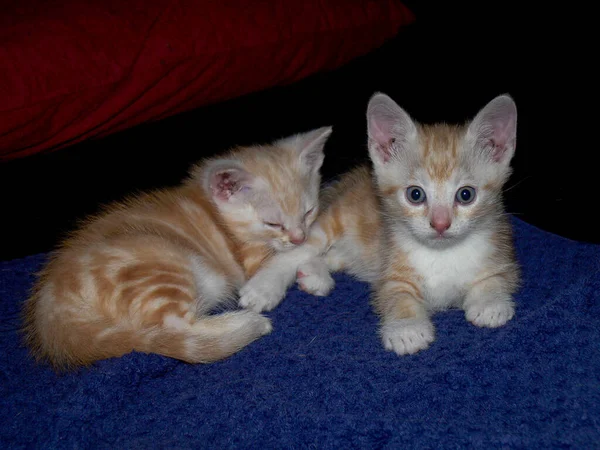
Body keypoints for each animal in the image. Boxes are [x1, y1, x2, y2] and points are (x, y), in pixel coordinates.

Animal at [22, 126, 332, 370]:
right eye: (272, 223)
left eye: (308, 211)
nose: (298, 235)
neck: (217, 211)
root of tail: (53, 319)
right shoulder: (253, 257)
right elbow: (298, 250)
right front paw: (271, 287)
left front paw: (315, 273)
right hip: (159, 263)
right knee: (176, 327)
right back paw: (245, 323)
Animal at [239, 93, 520, 356]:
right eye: (415, 195)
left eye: (466, 195)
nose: (440, 224)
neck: (443, 254)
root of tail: (352, 180)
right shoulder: (390, 268)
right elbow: (396, 294)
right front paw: (406, 329)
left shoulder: (502, 252)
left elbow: (497, 278)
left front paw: (490, 302)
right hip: (336, 218)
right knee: (303, 247)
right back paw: (264, 287)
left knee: (334, 255)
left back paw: (314, 274)